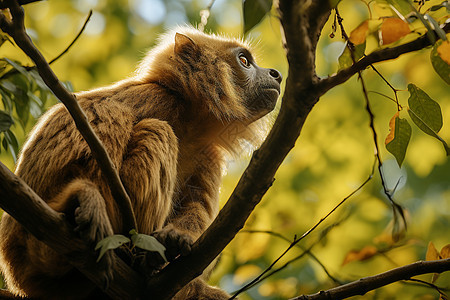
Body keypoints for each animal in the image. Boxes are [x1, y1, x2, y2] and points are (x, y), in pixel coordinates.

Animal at [0, 27, 282, 298]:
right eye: (244, 61)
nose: (276, 74)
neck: (190, 121)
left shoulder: (209, 154)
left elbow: (196, 204)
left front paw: (177, 238)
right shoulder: (153, 98)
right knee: (152, 128)